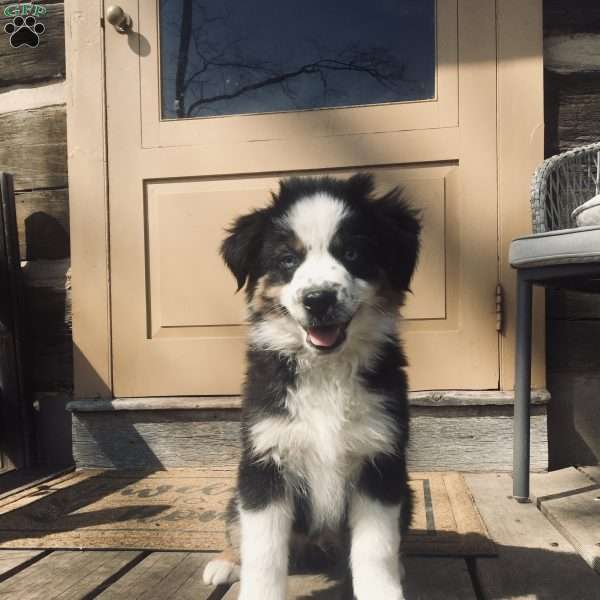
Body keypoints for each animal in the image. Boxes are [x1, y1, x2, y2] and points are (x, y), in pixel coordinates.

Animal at [204, 175, 420, 600]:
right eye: (288, 259)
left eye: (352, 252)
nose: (318, 299)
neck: (325, 371)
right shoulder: (264, 463)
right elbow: (263, 554)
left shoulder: (379, 464)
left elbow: (376, 550)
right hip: (238, 494)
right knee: (237, 530)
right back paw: (225, 563)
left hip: (406, 495)